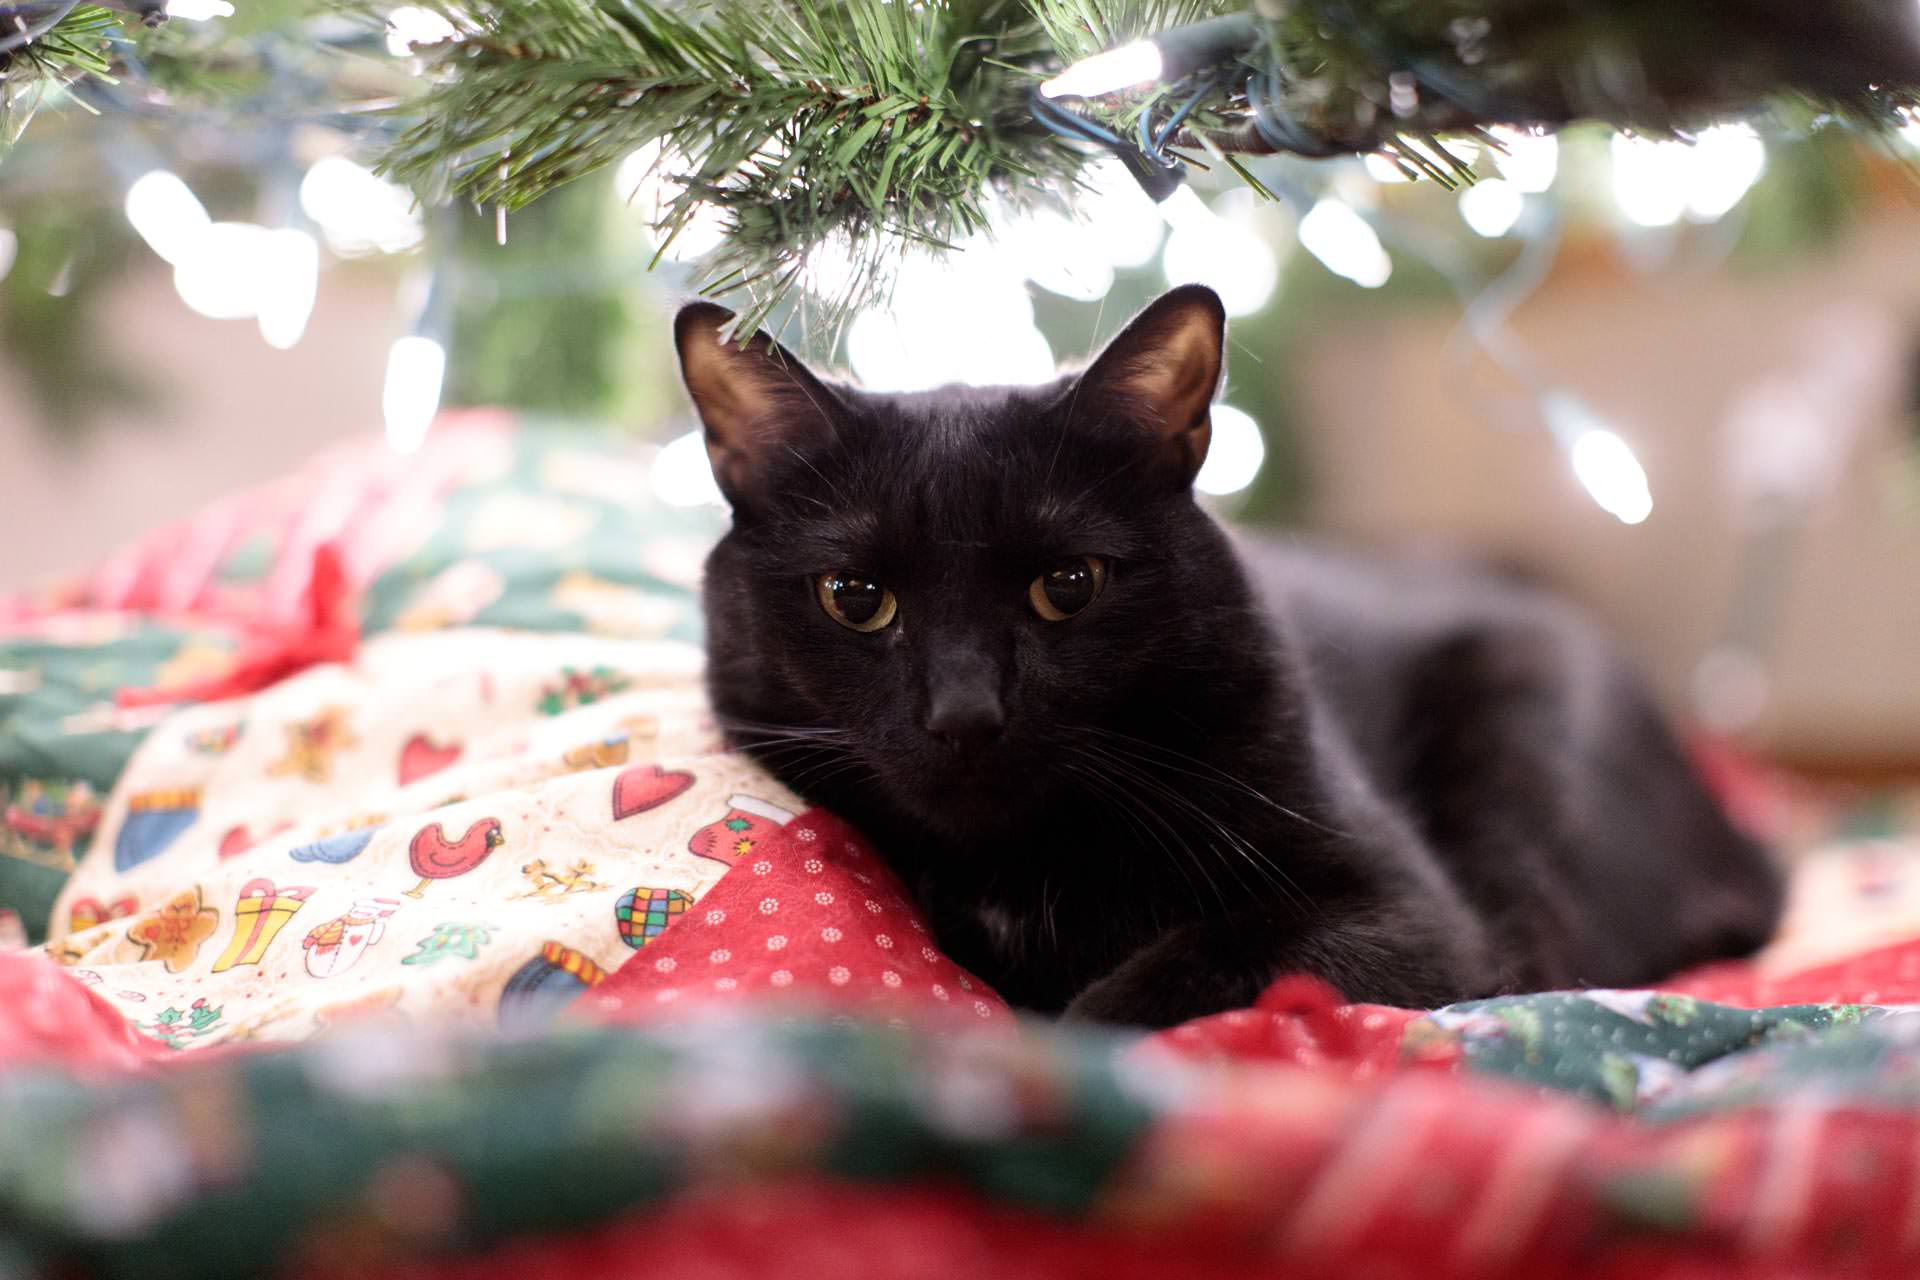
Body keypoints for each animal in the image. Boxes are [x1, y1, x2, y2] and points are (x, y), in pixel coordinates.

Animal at [675, 285, 1781, 1028]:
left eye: (1067, 584)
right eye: (857, 598)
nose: (965, 712)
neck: (1011, 859)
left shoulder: (1411, 913)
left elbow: (1177, 975)